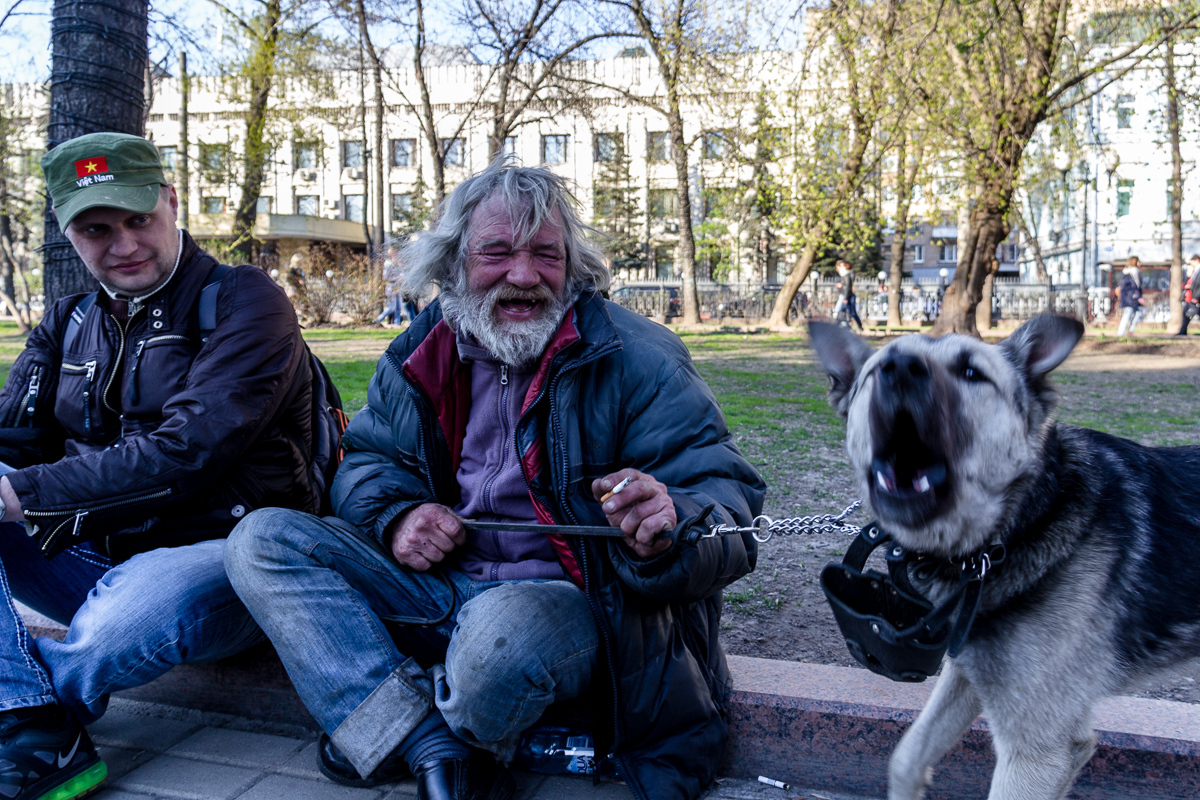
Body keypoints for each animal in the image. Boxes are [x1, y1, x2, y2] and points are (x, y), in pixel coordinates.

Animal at [809, 313, 1200, 800]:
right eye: (874, 372)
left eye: (971, 372)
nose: (898, 369)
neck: (1015, 528)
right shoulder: (970, 675)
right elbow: (906, 758)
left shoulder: (1039, 749)